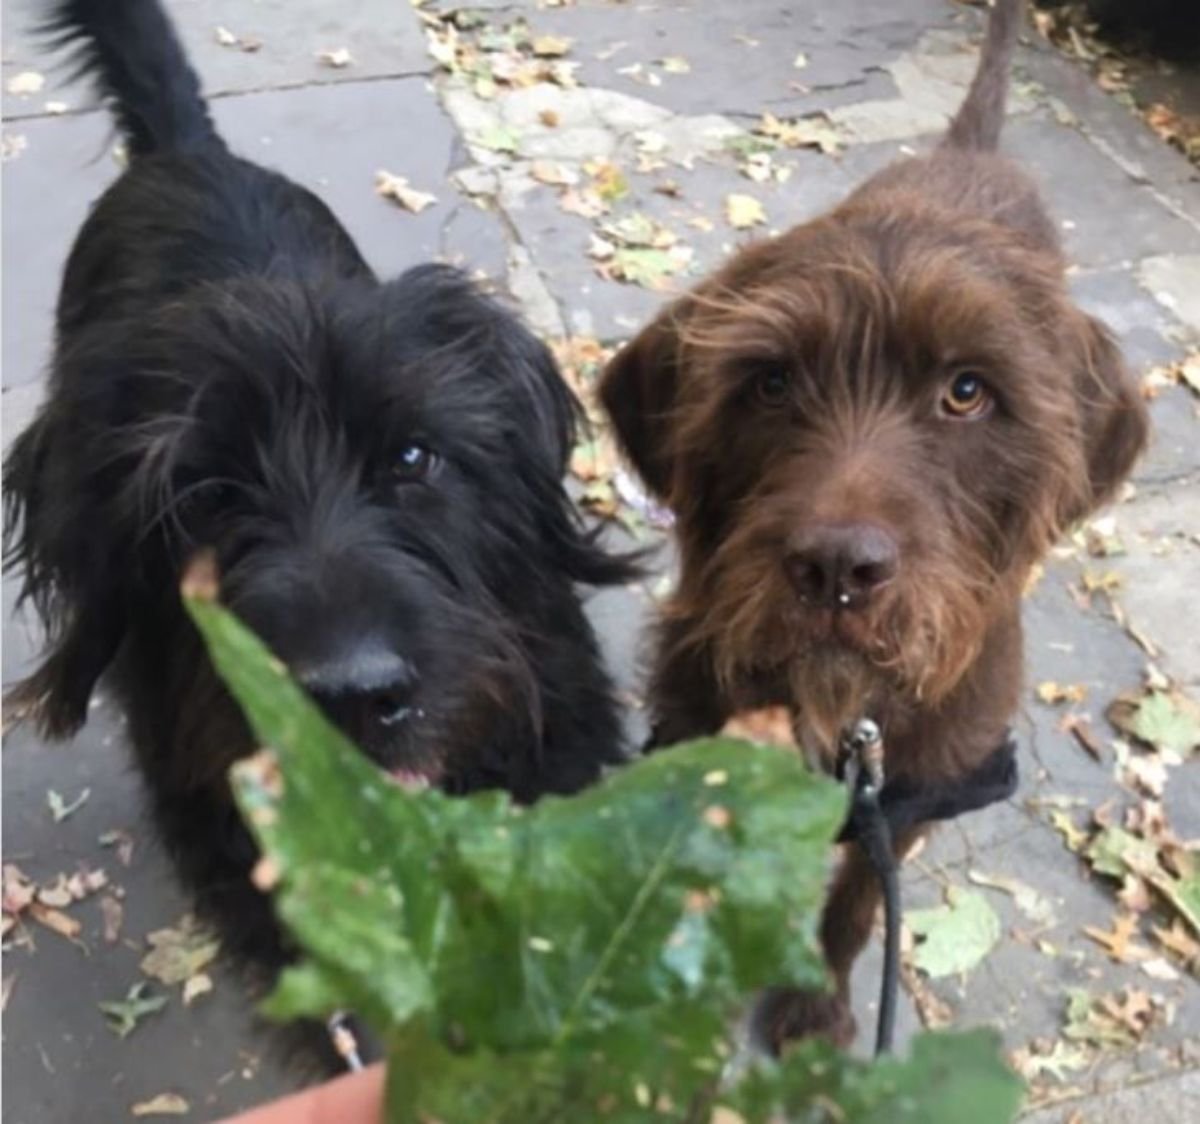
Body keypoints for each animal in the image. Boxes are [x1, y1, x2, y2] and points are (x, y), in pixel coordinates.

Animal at [604, 0, 1147, 1046]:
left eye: (967, 392)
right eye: (771, 383)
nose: (836, 571)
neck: (847, 712)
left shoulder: (919, 791)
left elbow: (859, 900)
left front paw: (816, 999)